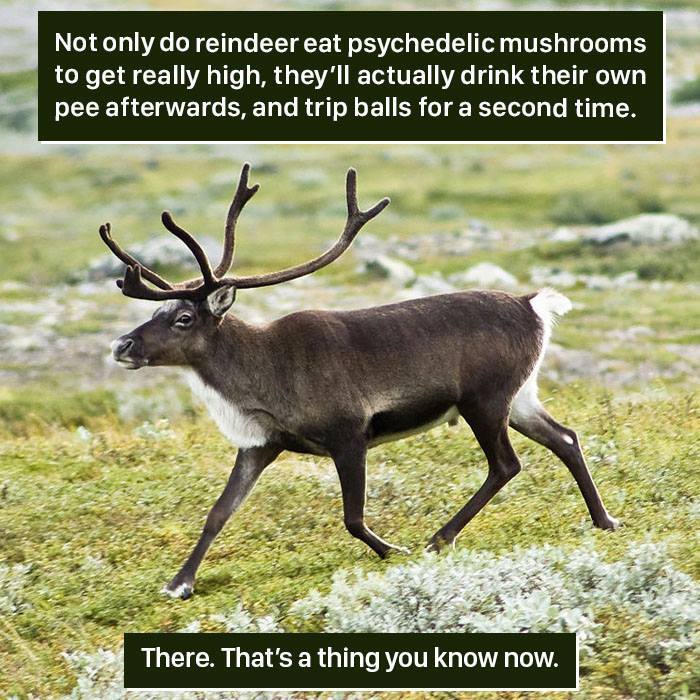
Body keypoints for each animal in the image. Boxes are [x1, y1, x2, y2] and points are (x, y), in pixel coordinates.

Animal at [103, 163, 619, 600]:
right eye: (158, 312)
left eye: (184, 318)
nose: (122, 345)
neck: (261, 375)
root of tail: (534, 305)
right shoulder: (262, 443)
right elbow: (217, 512)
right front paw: (179, 583)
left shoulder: (349, 433)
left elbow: (352, 517)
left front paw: (394, 550)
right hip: (520, 397)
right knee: (566, 438)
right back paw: (604, 520)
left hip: (484, 399)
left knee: (506, 465)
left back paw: (439, 538)